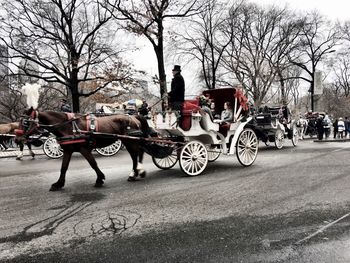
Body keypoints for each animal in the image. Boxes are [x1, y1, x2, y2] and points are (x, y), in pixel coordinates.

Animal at [20, 107, 152, 192]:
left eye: (26, 122)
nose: (19, 138)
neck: (68, 126)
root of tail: (133, 116)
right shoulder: (68, 150)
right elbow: (63, 168)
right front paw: (58, 184)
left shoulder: (84, 149)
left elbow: (93, 164)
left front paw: (99, 179)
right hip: (129, 141)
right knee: (138, 154)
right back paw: (138, 172)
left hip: (130, 141)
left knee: (136, 156)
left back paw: (135, 173)